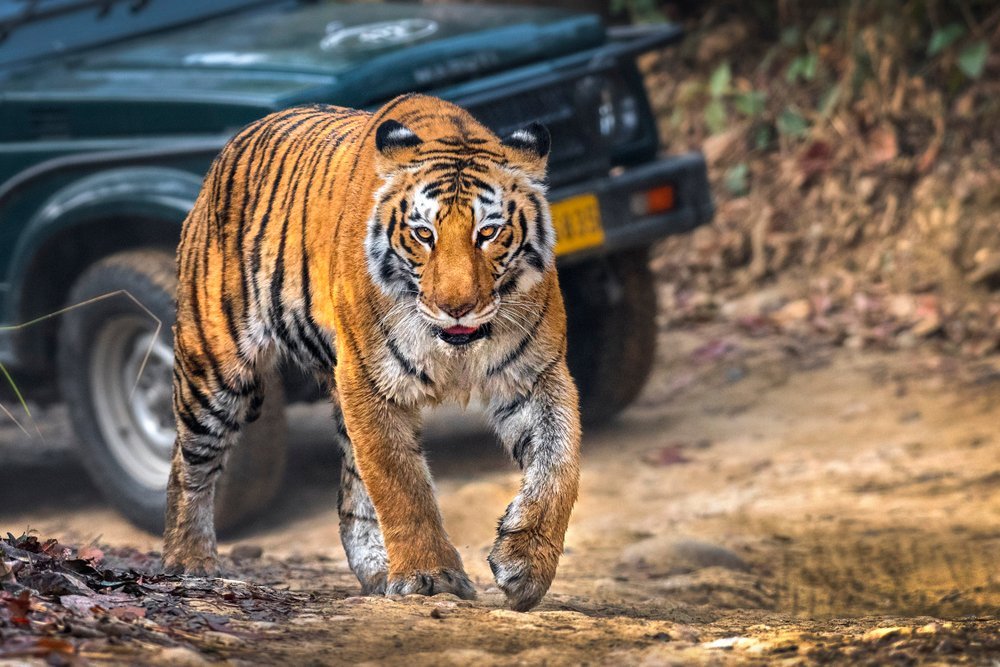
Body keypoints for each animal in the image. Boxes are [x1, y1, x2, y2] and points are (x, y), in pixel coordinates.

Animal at [163, 93, 581, 612]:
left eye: (488, 233)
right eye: (424, 235)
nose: (456, 307)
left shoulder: (536, 375)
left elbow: (559, 466)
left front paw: (525, 566)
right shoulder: (370, 380)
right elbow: (399, 481)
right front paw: (429, 576)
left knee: (350, 491)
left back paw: (377, 568)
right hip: (212, 367)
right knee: (188, 464)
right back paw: (189, 561)